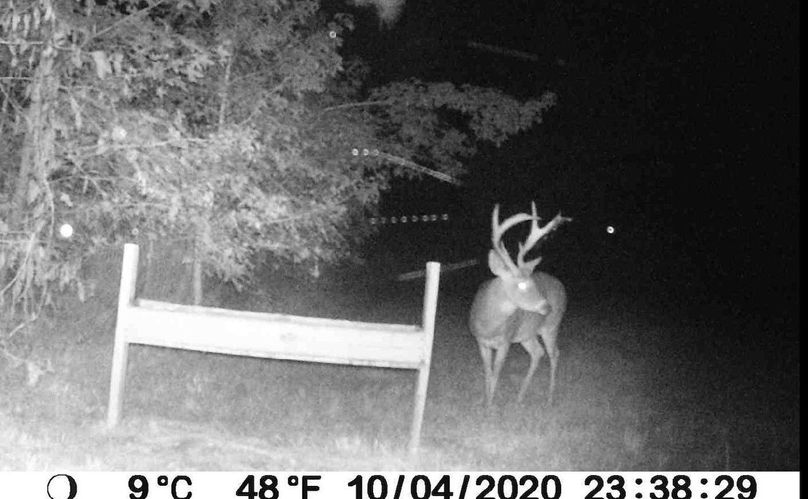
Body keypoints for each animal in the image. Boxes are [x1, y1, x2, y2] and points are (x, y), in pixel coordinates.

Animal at [469, 202, 571, 408]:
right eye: (522, 284)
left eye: (533, 282)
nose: (547, 307)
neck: (488, 325)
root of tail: (561, 285)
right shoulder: (480, 341)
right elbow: (487, 372)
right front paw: (485, 401)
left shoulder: (506, 340)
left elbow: (497, 372)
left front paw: (490, 406)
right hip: (527, 334)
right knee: (538, 353)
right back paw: (520, 396)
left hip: (551, 326)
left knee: (554, 353)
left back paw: (549, 397)